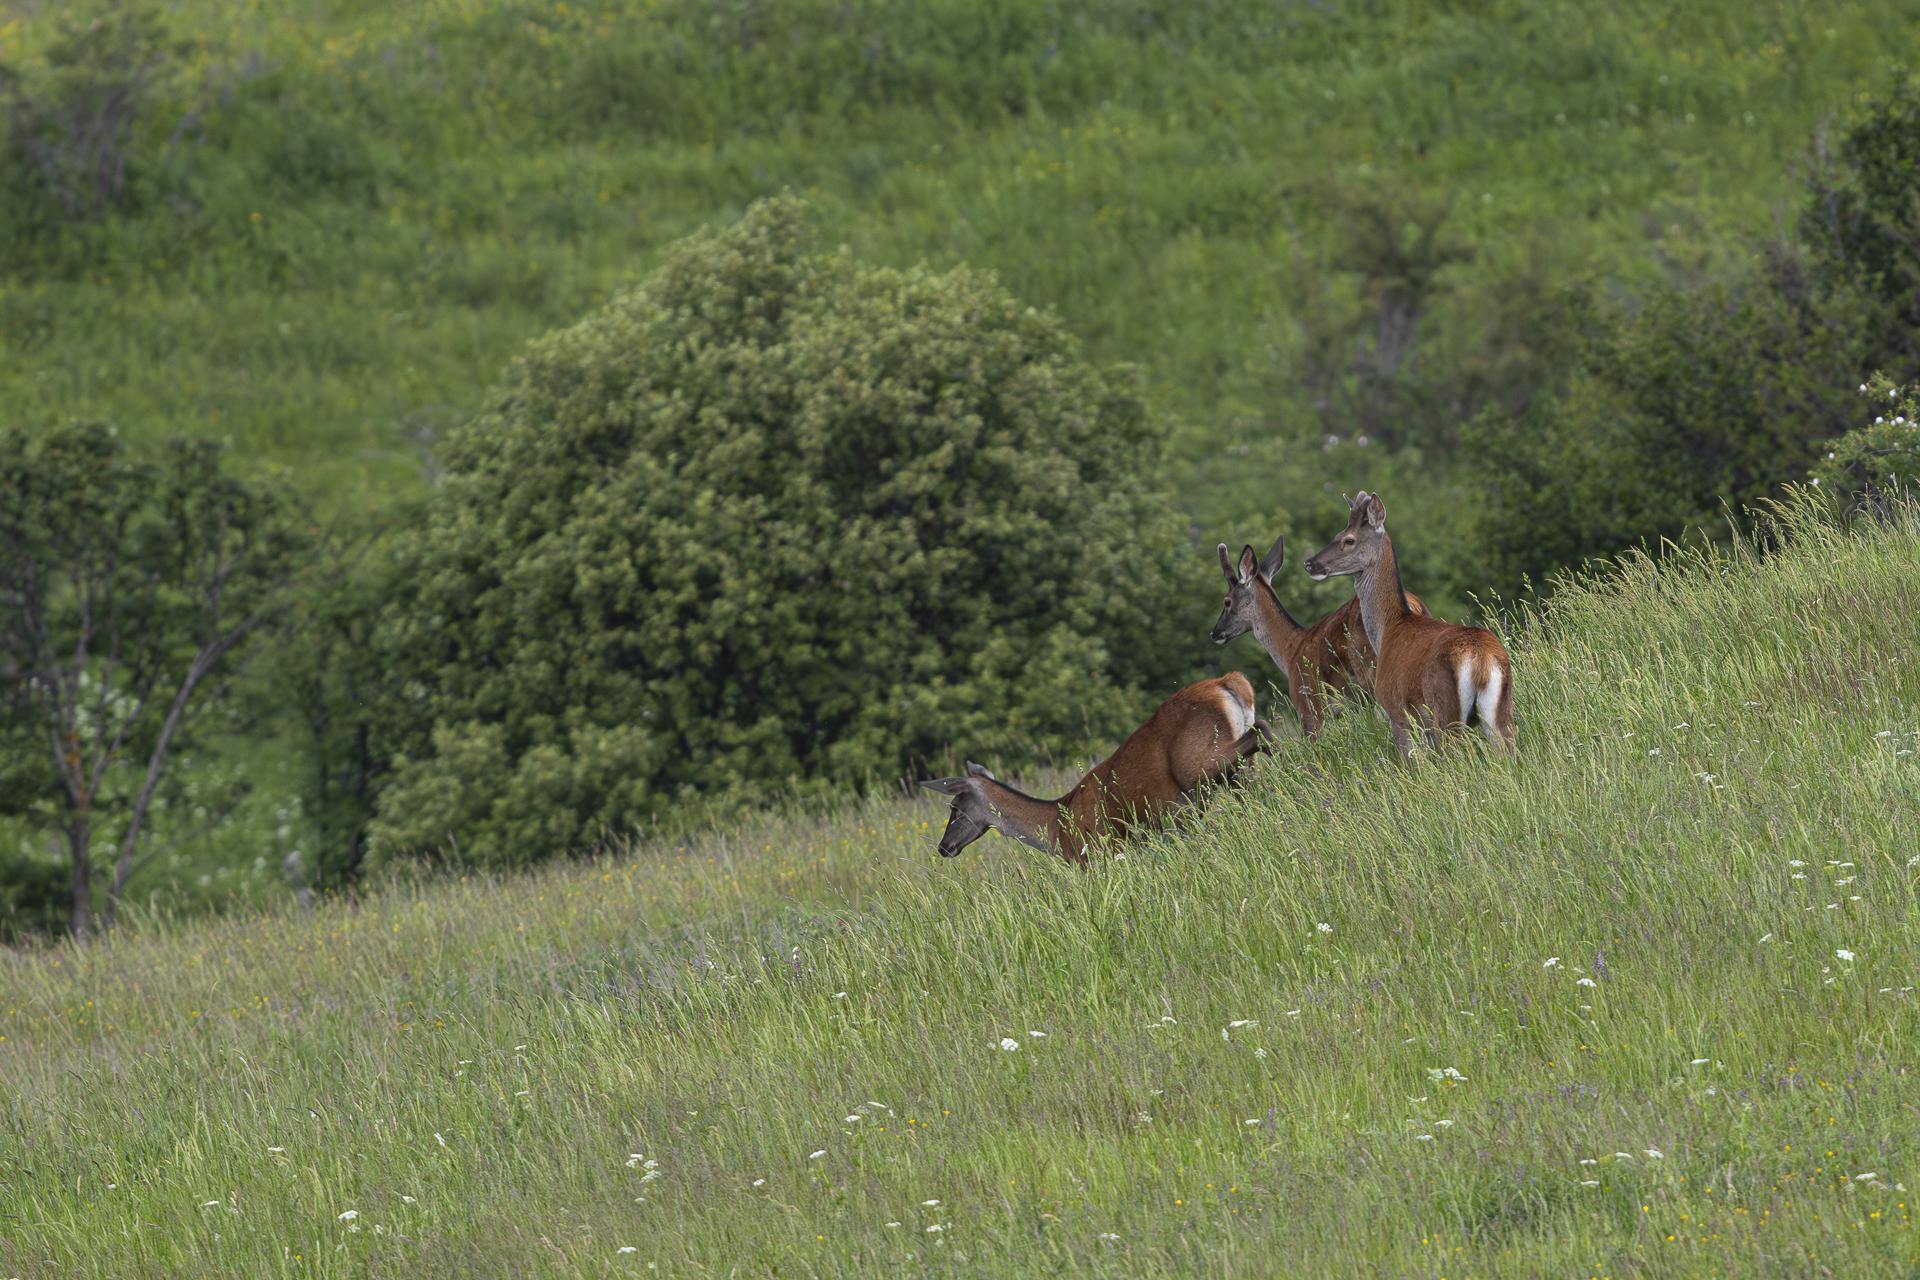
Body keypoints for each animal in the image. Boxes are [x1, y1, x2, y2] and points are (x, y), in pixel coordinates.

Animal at [917, 675, 1267, 867]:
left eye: (955, 808)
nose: (943, 847)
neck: (1056, 830)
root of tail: (1229, 682)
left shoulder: (1093, 856)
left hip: (1198, 763)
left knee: (1262, 731)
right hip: (1227, 771)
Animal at [1305, 487, 1512, 752]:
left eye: (1348, 540)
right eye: (1337, 534)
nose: (1310, 563)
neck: (1388, 627)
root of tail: (1481, 660)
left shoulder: (1396, 711)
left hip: (1445, 713)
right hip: (1499, 713)